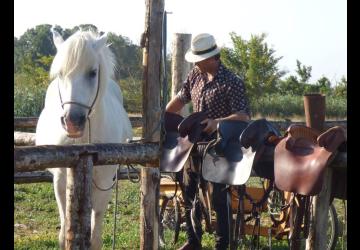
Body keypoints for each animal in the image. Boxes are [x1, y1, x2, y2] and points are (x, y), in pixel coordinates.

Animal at [35, 28, 132, 249]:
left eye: (92, 73)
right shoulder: (61, 180)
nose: (72, 121)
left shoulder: (105, 181)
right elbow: (64, 232)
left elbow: (95, 236)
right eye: (60, 73)